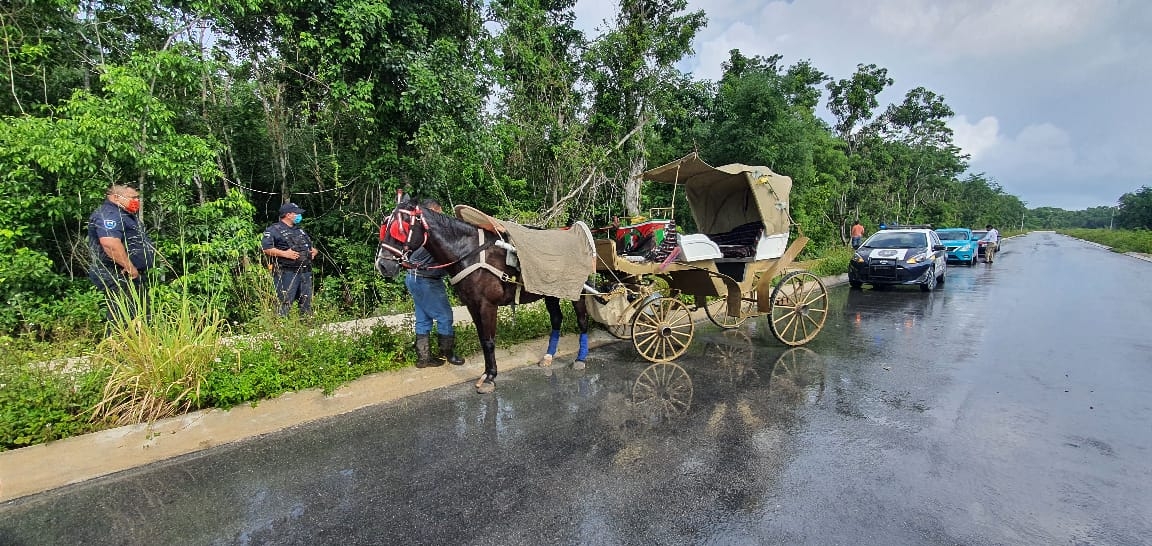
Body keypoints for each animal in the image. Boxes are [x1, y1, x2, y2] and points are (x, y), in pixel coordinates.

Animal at [377, 195, 589, 391]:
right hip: (550, 292)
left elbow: (489, 341)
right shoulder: (472, 305)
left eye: (400, 228)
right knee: (556, 319)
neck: (470, 253)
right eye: (385, 225)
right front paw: (487, 373)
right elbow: (482, 339)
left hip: (577, 292)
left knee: (582, 320)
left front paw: (490, 377)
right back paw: (548, 356)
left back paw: (581, 358)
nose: (383, 265)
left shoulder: (488, 305)